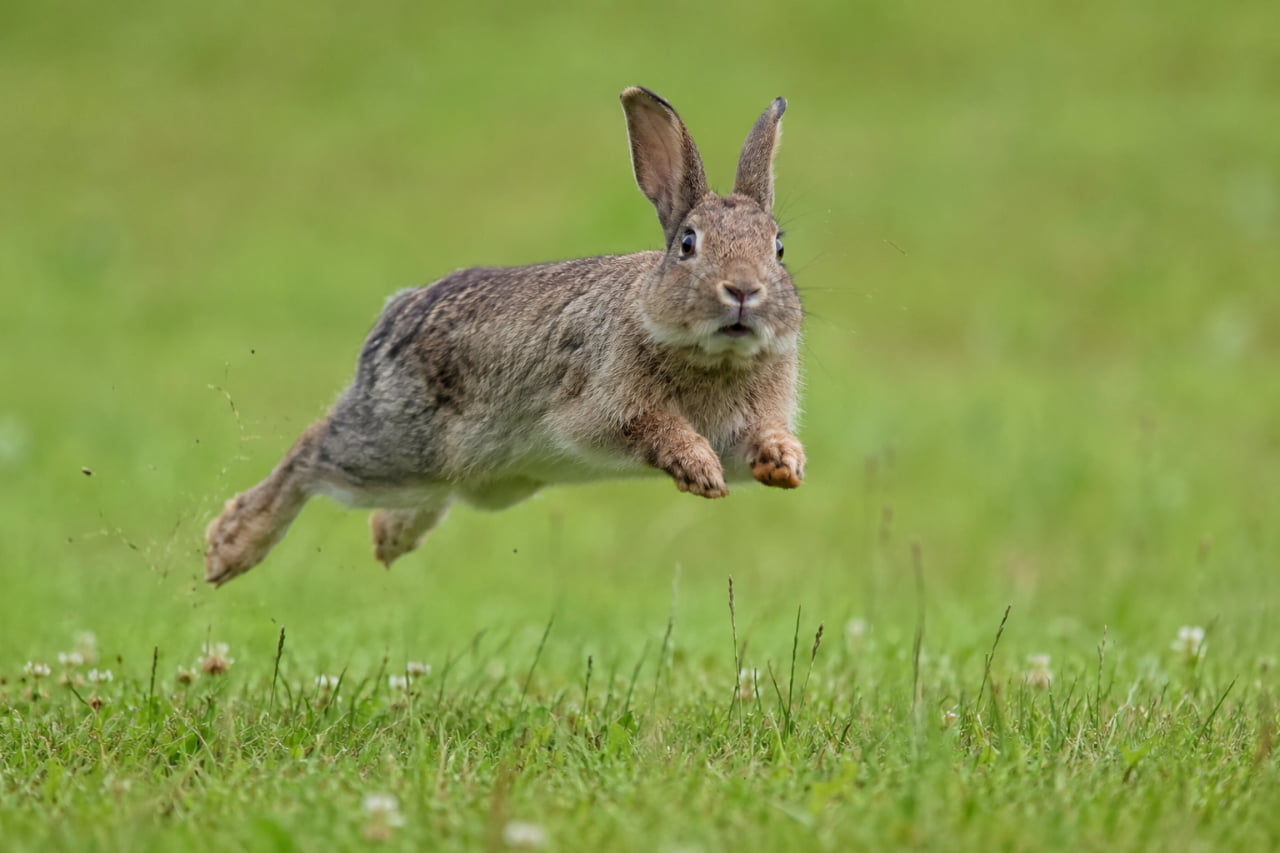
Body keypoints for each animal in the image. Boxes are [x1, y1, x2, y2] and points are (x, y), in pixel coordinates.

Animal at [204, 86, 805, 586]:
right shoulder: (602, 407)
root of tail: (398, 312)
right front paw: (697, 467)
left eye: (778, 248)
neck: (715, 355)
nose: (744, 290)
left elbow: (757, 443)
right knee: (311, 451)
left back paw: (391, 537)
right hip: (395, 444)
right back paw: (229, 546)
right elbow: (655, 427)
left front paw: (784, 462)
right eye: (687, 243)